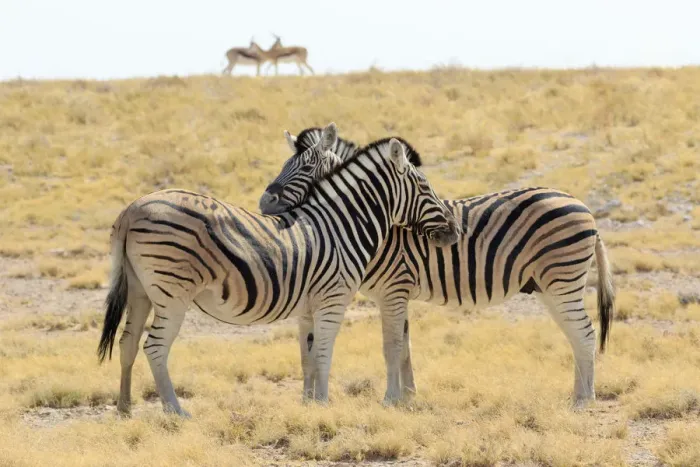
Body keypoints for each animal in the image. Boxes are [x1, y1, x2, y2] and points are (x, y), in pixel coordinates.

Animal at [97, 122, 462, 417]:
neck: (342, 225)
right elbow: (325, 354)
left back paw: (125, 408)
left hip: (140, 290)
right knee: (154, 347)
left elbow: (309, 357)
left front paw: (311, 404)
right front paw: (325, 405)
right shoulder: (333, 300)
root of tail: (132, 208)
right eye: (426, 188)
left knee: (128, 342)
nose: (454, 231)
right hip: (172, 293)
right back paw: (175, 411)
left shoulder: (309, 306)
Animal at [259, 128, 616, 406]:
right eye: (284, 165)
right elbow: (405, 347)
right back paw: (578, 395)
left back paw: (585, 400)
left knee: (585, 333)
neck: (372, 222)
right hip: (549, 286)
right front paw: (409, 397)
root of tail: (583, 207)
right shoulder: (398, 294)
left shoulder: (394, 289)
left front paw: (390, 400)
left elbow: (392, 347)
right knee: (576, 334)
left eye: (306, 167)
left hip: (563, 280)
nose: (264, 203)